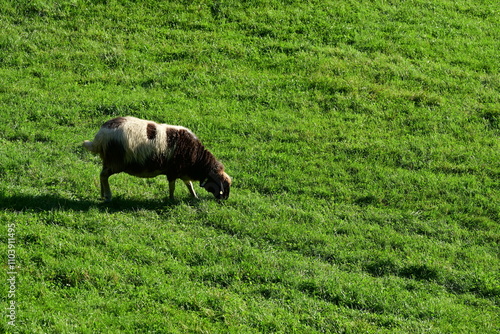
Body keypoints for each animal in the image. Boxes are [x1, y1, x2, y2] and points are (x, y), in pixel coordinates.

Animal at [82, 117, 230, 201]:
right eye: (222, 185)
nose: (224, 200)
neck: (198, 159)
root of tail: (100, 136)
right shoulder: (173, 171)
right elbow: (173, 187)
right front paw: (171, 200)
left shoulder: (182, 171)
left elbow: (189, 184)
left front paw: (194, 197)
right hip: (116, 162)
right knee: (103, 175)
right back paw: (108, 196)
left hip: (108, 160)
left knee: (102, 175)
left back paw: (102, 194)